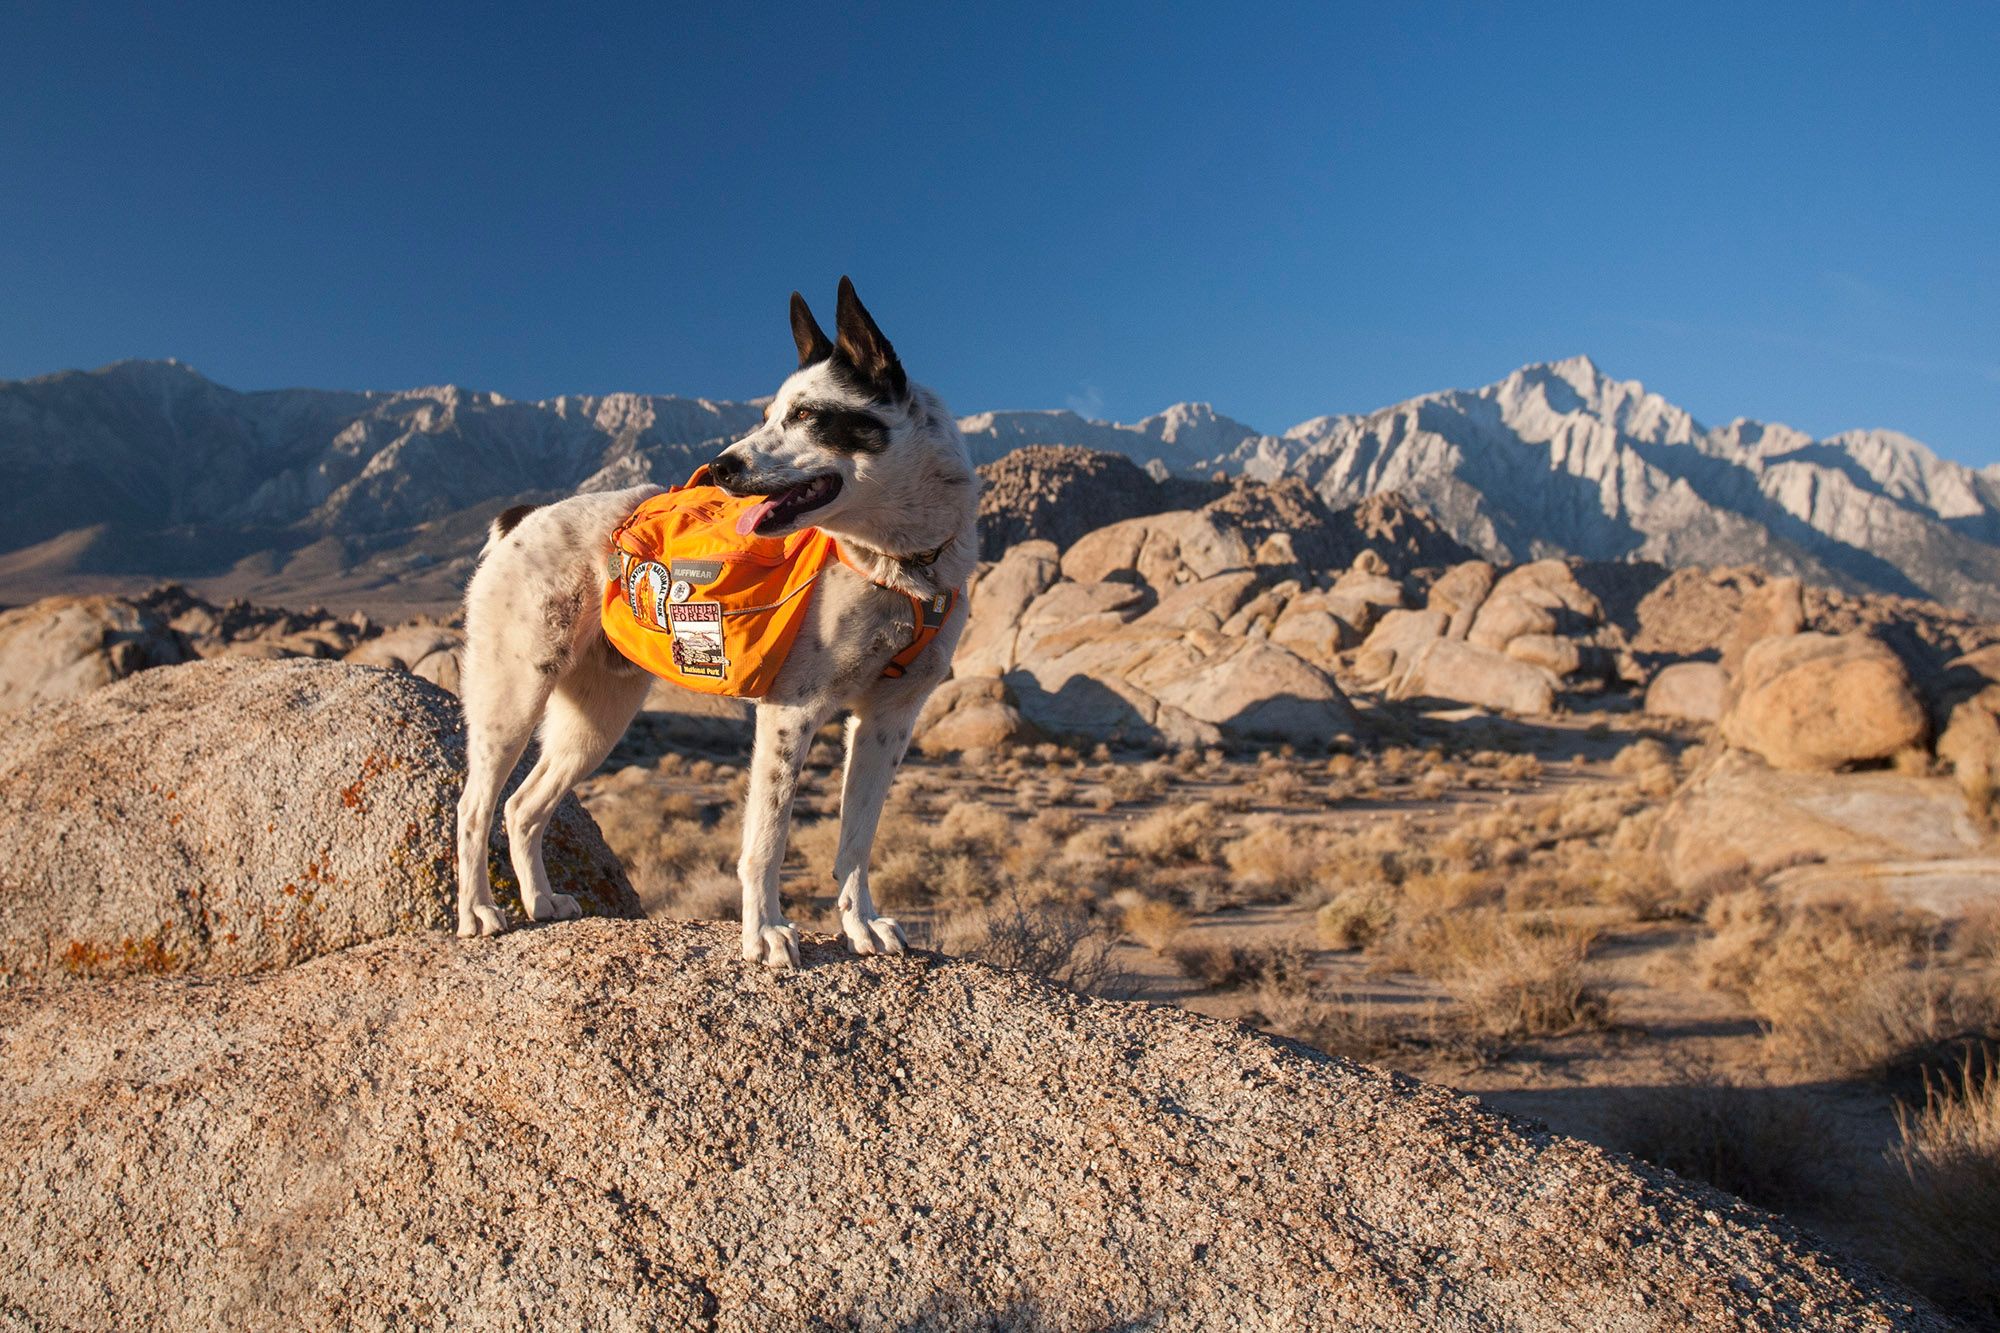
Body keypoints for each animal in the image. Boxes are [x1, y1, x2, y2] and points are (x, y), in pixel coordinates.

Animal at [456, 280, 984, 964]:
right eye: (767, 415)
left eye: (807, 415)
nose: (720, 467)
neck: (899, 564)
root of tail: (523, 518)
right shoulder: (792, 710)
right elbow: (767, 837)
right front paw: (765, 934)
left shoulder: (887, 721)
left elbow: (857, 840)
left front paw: (861, 923)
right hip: (513, 695)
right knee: (475, 806)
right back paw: (478, 911)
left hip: (596, 719)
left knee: (522, 806)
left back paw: (542, 902)